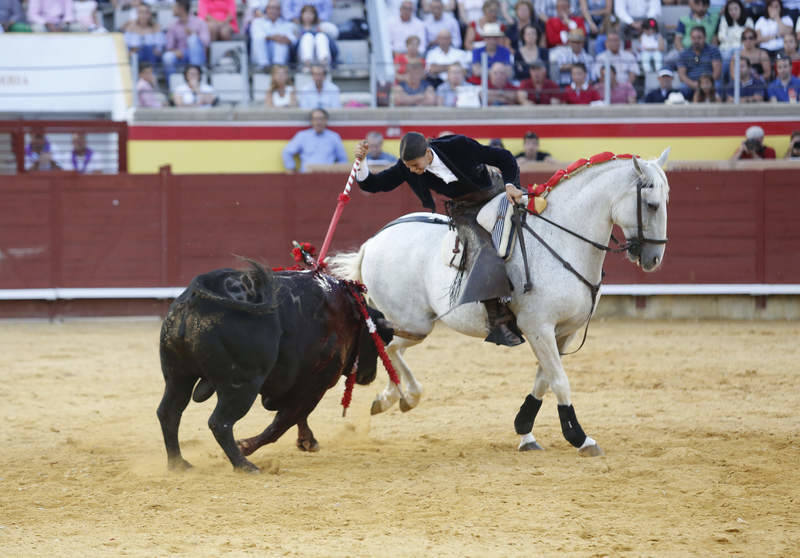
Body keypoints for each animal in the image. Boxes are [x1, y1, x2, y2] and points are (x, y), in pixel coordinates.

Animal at [157, 262, 394, 472]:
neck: (346, 313)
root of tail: (195, 298)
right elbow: (283, 422)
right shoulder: (316, 384)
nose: (369, 376)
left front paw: (307, 441)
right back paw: (244, 465)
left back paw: (178, 464)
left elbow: (295, 416)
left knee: (169, 412)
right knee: (220, 422)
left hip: (177, 375)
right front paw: (247, 446)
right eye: (378, 342)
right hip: (242, 385)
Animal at [328, 151, 672, 458]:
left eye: (666, 202)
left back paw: (393, 397)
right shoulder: (538, 327)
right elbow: (560, 381)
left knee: (391, 348)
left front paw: (525, 431)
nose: (654, 260)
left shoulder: (563, 332)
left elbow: (544, 380)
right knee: (389, 347)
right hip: (414, 321)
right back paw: (403, 396)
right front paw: (580, 437)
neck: (560, 239)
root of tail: (373, 242)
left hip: (414, 324)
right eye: (651, 205)